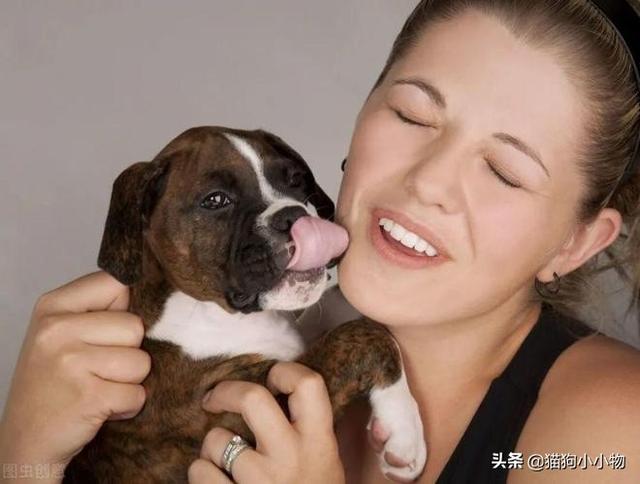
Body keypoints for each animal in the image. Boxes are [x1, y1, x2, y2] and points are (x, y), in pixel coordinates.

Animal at [62, 126, 428, 482]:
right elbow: (360, 336)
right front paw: (404, 432)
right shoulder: (242, 414)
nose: (293, 214)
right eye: (216, 200)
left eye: (296, 179)